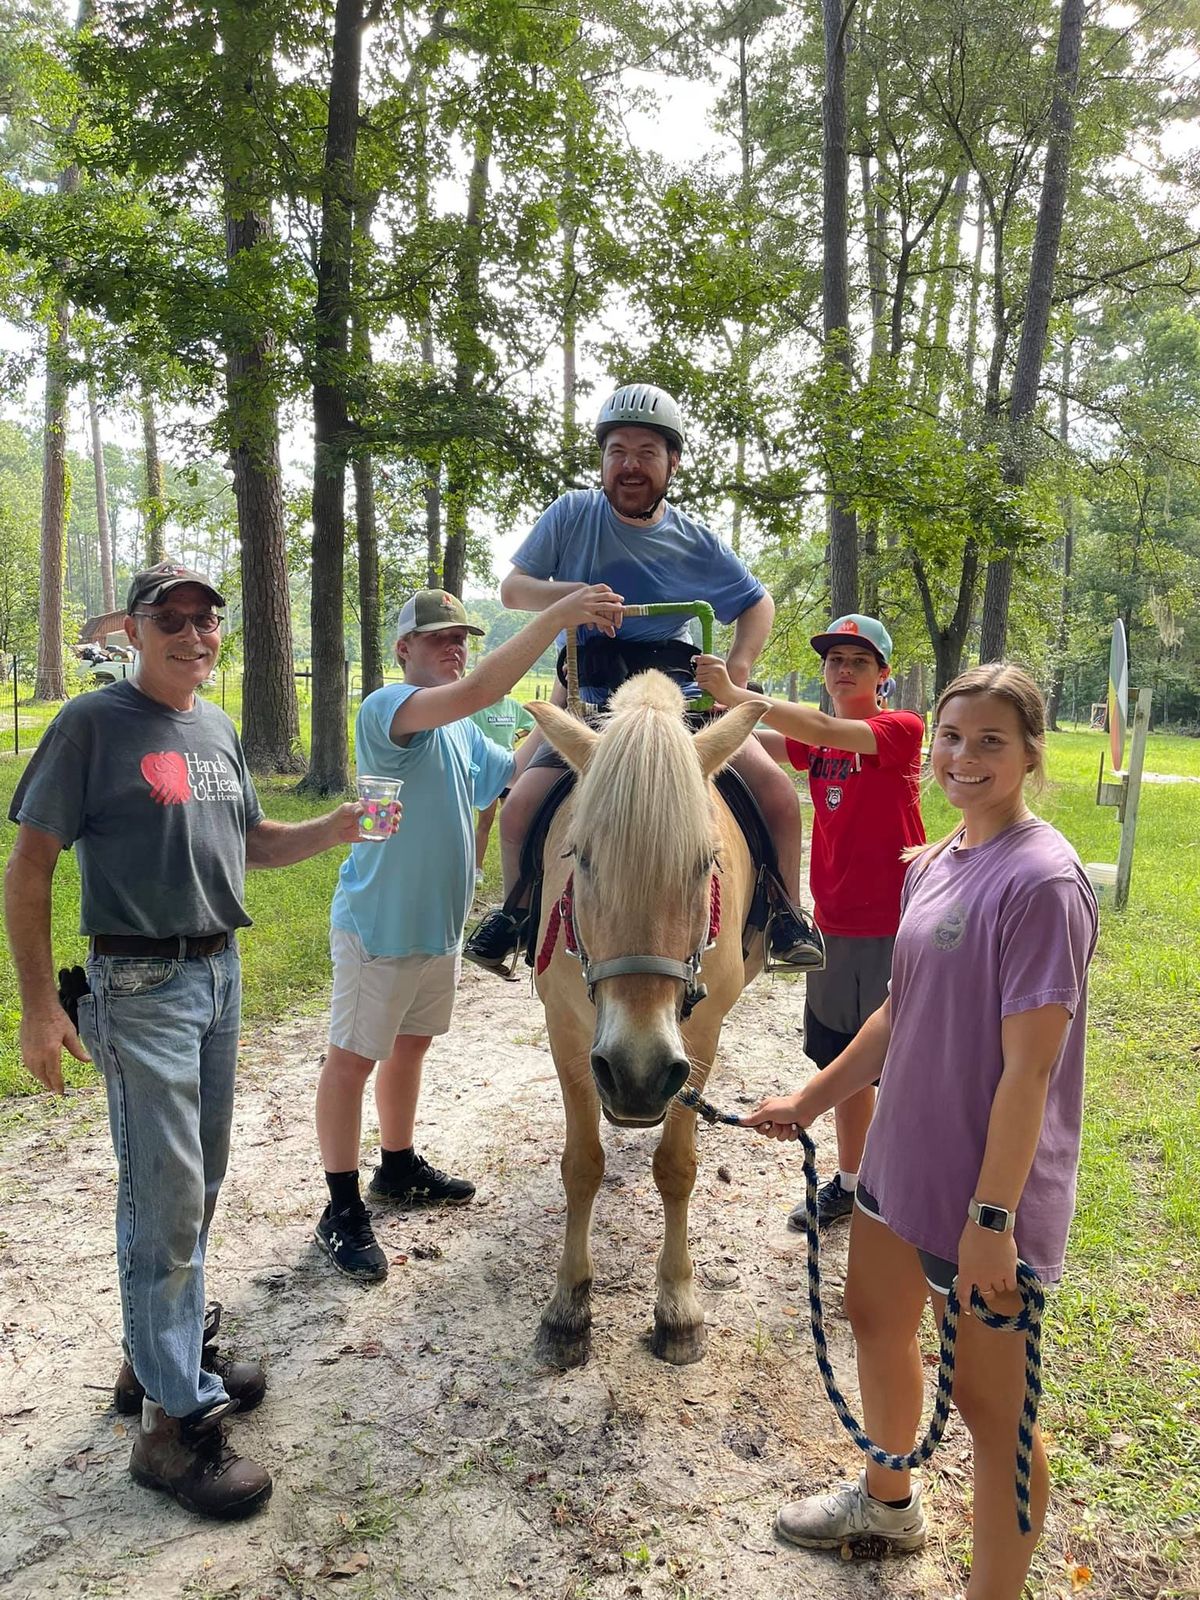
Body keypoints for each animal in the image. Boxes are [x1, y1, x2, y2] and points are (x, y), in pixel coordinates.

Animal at [528, 668, 771, 1369]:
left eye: (705, 861)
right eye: (580, 857)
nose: (636, 1074)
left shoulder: (701, 1037)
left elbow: (677, 1168)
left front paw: (678, 1309)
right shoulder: (566, 1034)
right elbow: (582, 1164)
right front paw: (569, 1309)